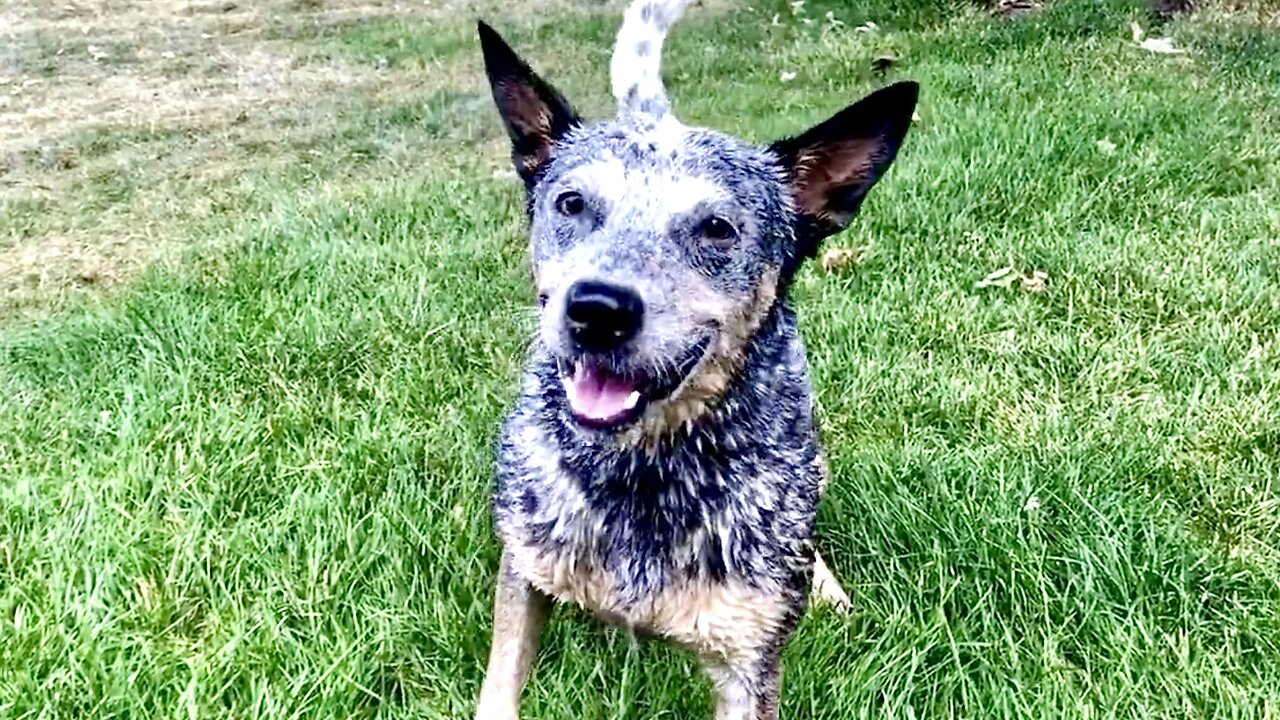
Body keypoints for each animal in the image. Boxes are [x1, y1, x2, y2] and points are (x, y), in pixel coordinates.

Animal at [476, 2, 916, 712]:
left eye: (717, 228)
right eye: (571, 202)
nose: (597, 308)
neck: (642, 474)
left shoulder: (748, 661)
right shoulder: (523, 568)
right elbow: (500, 683)